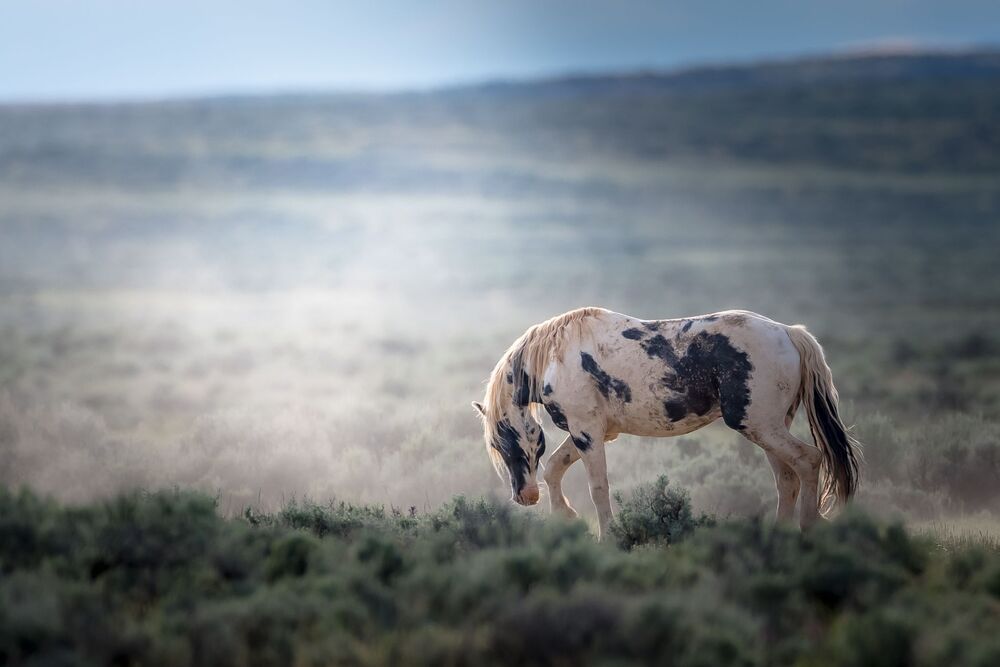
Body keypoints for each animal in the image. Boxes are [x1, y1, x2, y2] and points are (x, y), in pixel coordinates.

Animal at [472, 307, 861, 540]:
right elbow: (554, 468)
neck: (556, 358)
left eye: (499, 441)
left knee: (809, 460)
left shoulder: (587, 433)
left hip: (761, 427)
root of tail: (788, 332)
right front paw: (564, 517)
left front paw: (607, 537)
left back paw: (810, 525)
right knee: (787, 479)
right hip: (769, 428)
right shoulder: (590, 433)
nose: (524, 496)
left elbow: (597, 489)